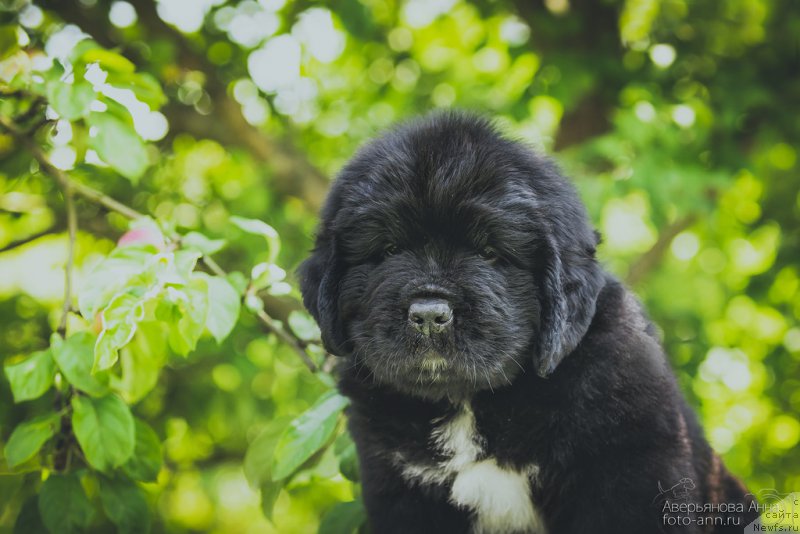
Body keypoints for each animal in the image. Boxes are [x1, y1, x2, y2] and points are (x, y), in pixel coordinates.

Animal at [298, 111, 756, 532]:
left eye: (489, 253)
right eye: (390, 250)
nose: (429, 315)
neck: (469, 404)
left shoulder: (629, 470)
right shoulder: (401, 488)